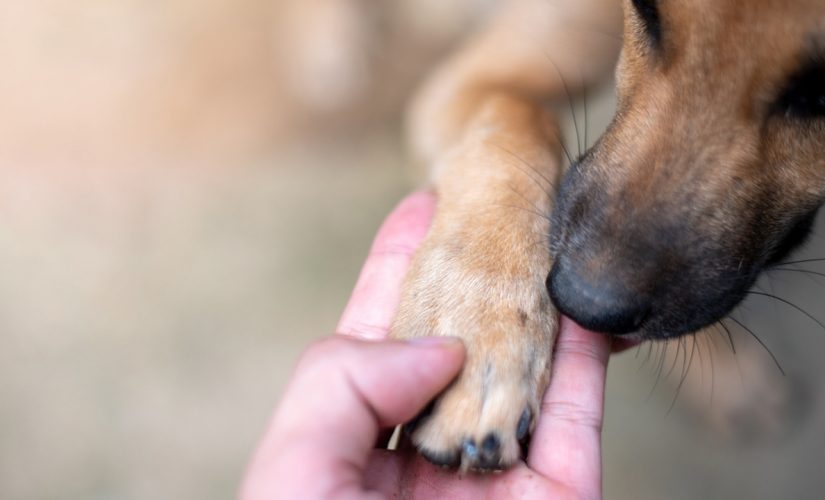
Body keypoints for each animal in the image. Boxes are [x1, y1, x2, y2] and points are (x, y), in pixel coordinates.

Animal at [384, 0, 824, 472]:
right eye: (646, 9)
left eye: (821, 90)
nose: (582, 303)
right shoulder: (471, 83)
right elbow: (518, 120)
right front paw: (483, 322)